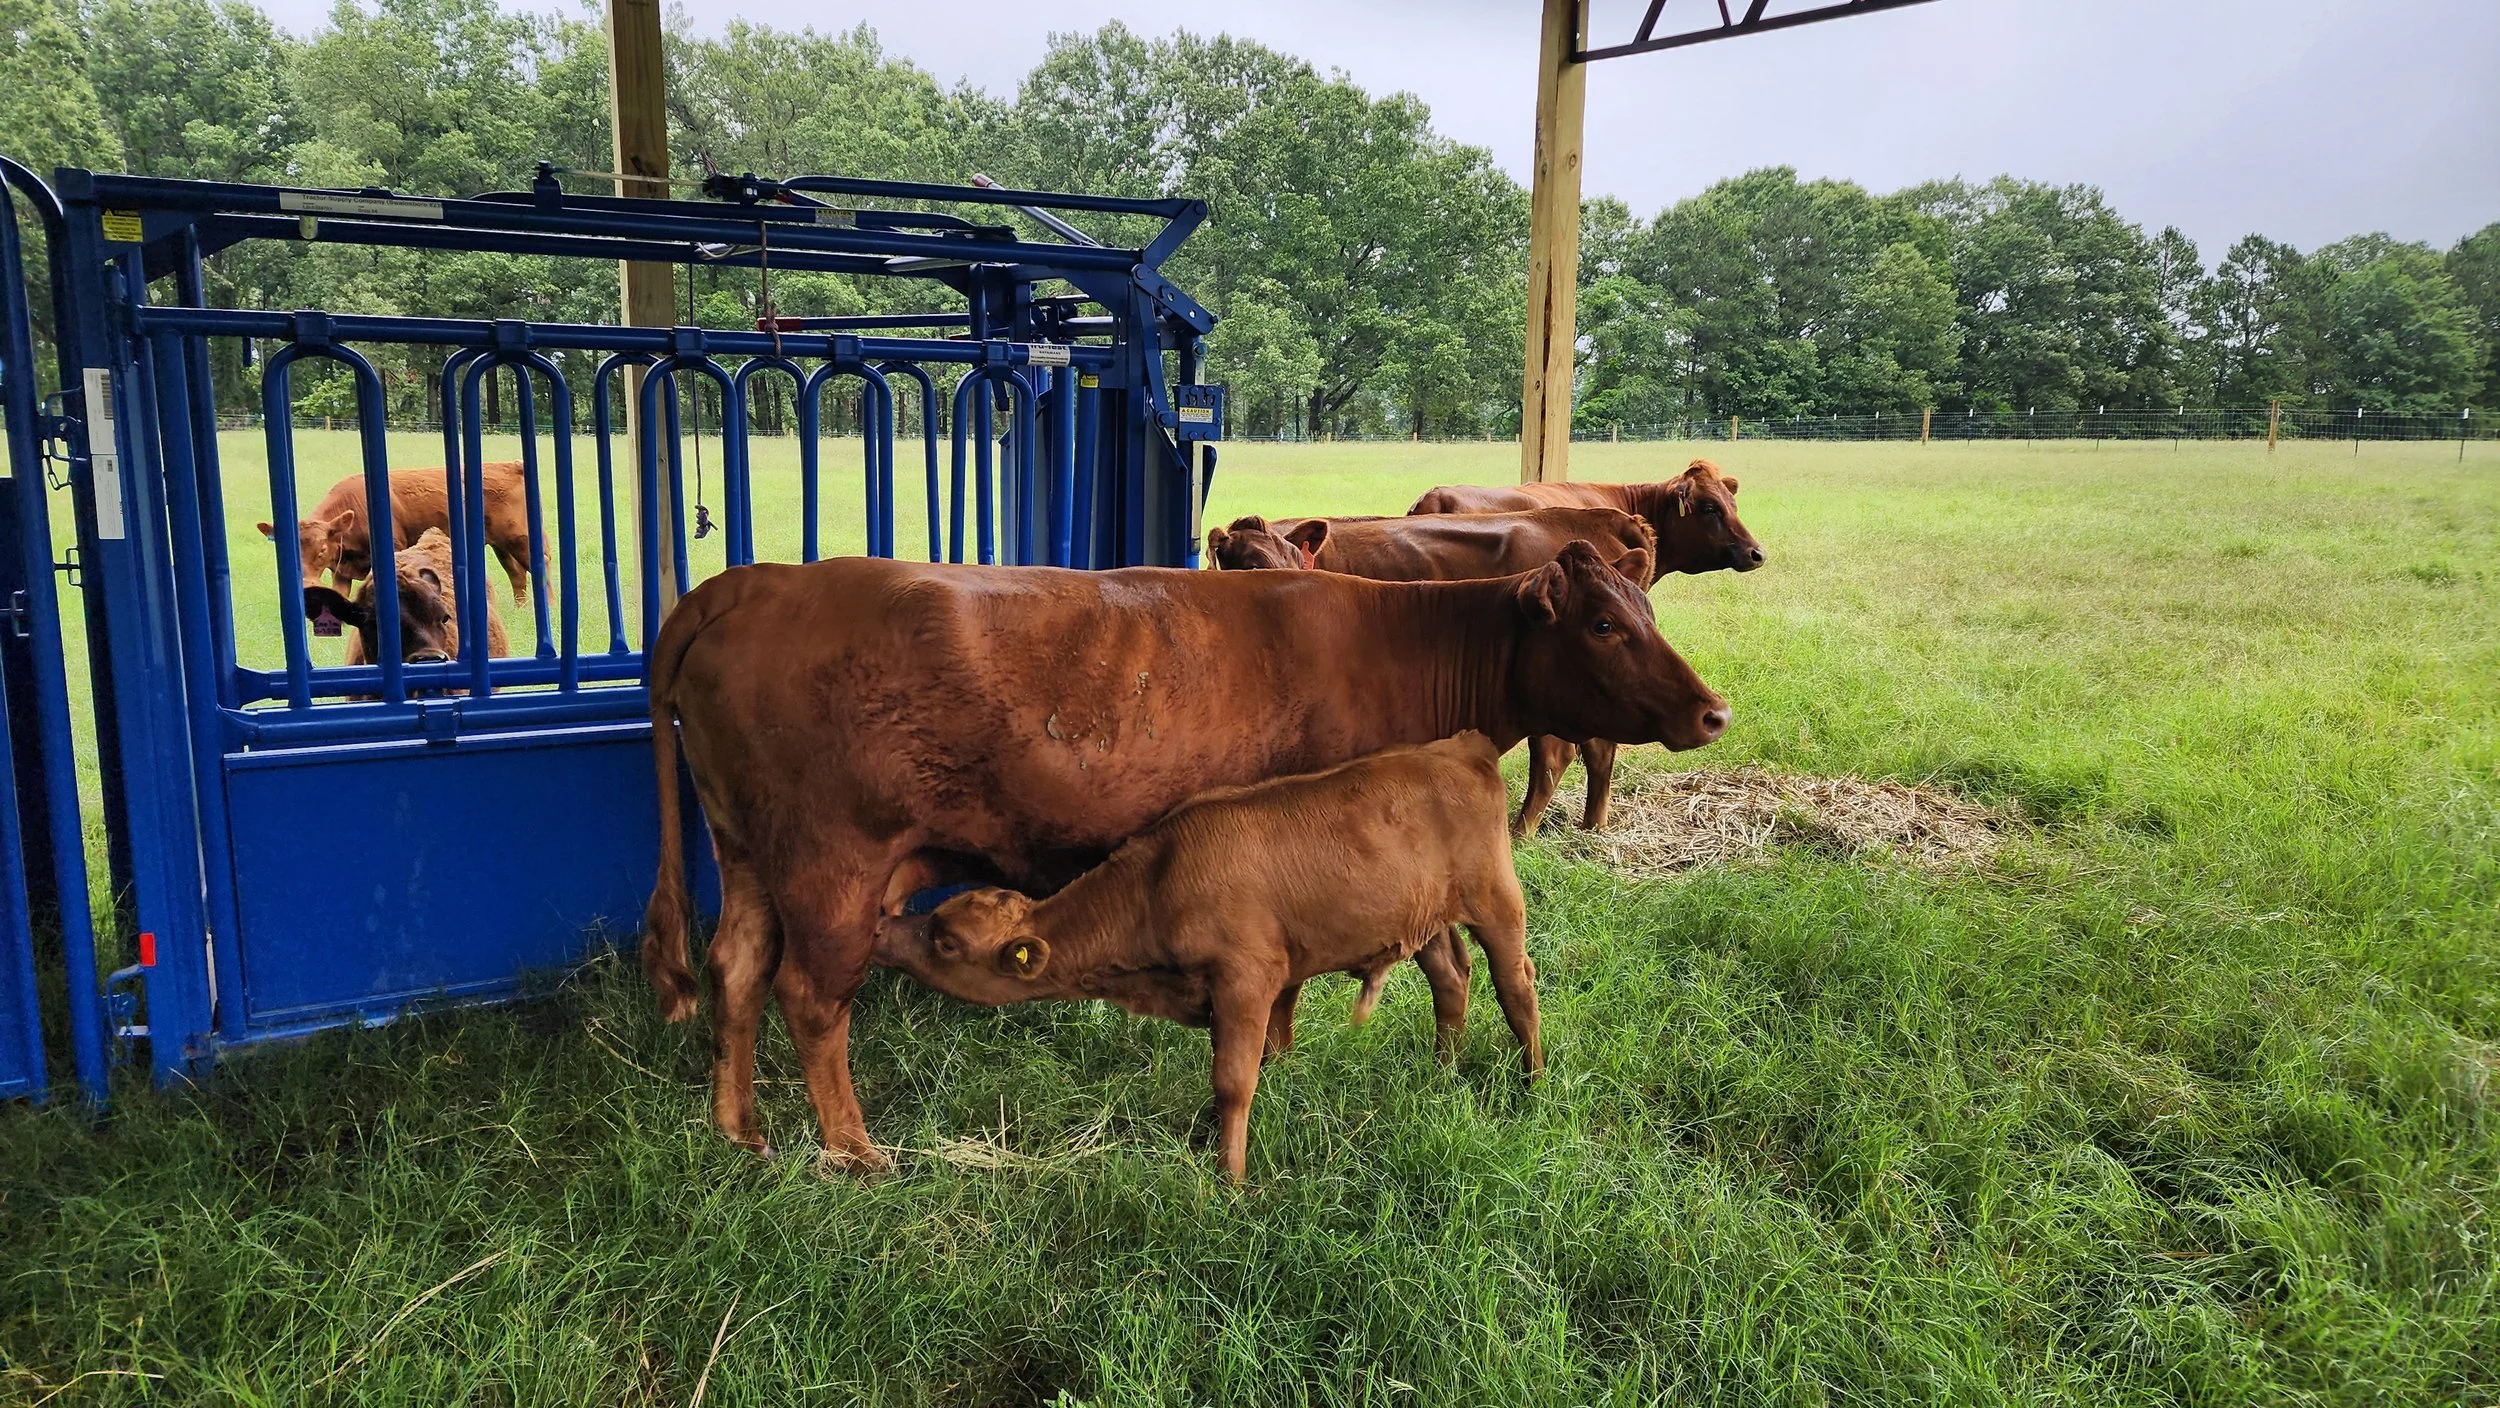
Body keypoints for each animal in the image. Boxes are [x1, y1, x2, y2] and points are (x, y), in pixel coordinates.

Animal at [258, 463, 542, 607]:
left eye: (321, 551)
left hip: (520, 537)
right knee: (517, 575)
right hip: (501, 545)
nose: (306, 585)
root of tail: (511, 466)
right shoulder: (341, 570)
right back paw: (520, 609)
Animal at [872, 733, 1533, 1183]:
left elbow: (1234, 1080)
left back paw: (1532, 1085)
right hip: (1422, 921)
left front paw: (1231, 1180)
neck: (1158, 884)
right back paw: (1443, 1070)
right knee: (1451, 980)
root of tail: (1463, 747)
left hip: (1497, 900)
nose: (881, 929)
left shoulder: (1245, 979)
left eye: (945, 941)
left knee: (1516, 988)